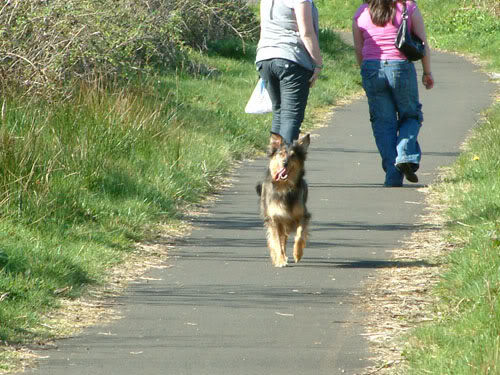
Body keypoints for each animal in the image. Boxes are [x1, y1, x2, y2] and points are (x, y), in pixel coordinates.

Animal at [256, 134, 310, 268]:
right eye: (281, 154)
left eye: (293, 155)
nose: (285, 163)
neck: (284, 187)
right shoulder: (274, 219)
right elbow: (276, 242)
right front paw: (279, 260)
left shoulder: (303, 216)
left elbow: (299, 236)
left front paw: (297, 254)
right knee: (279, 240)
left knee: (284, 239)